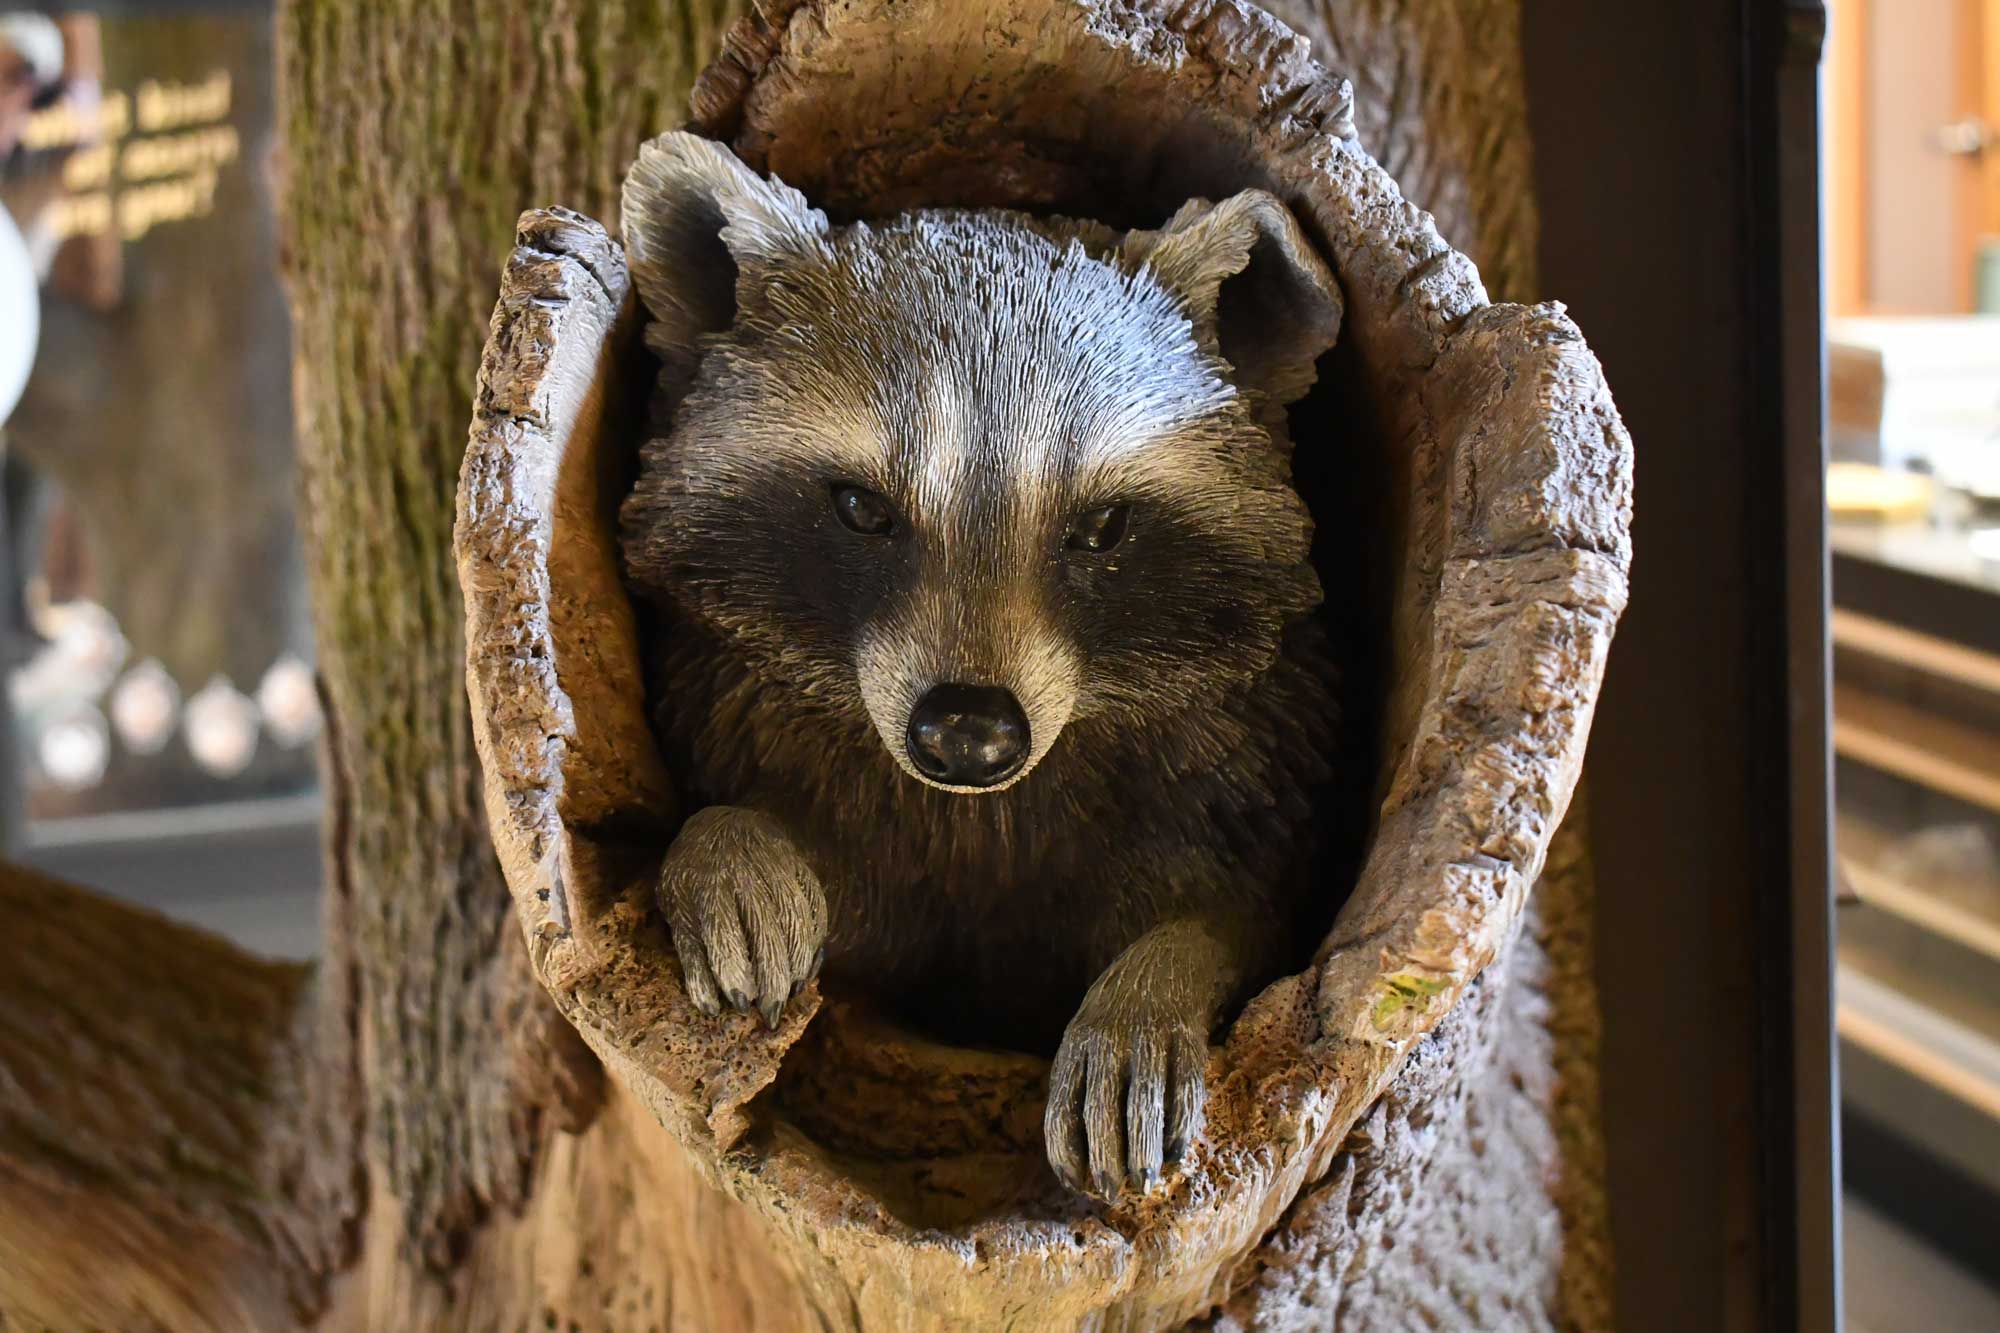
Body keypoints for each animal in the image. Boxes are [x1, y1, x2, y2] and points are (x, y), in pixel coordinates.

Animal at [618, 133, 1346, 1200]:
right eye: (863, 508)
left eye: (1102, 527)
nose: (968, 733)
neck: (975, 812)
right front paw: (724, 841)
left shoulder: (1249, 760)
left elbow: (1246, 916)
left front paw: (1154, 982)